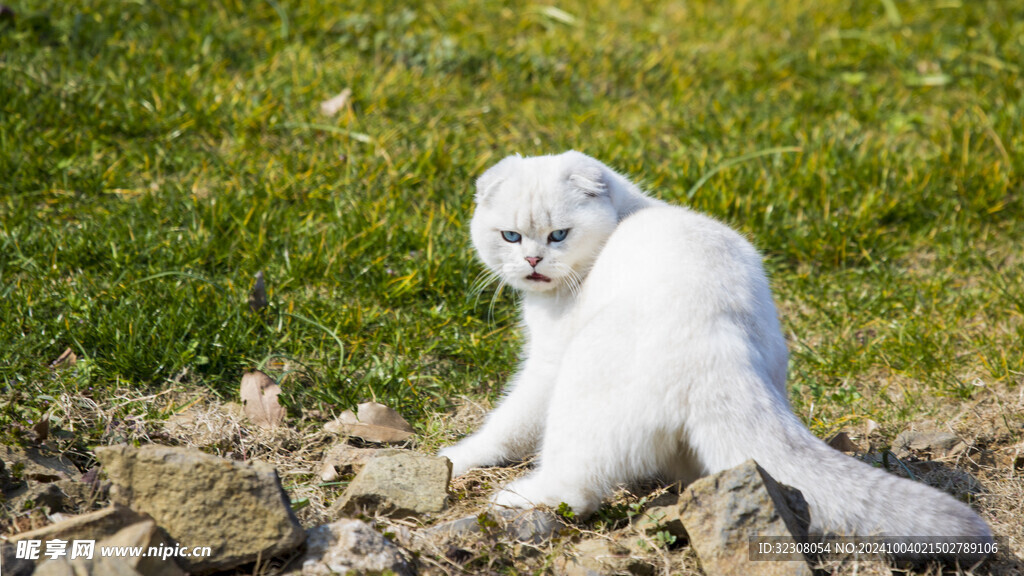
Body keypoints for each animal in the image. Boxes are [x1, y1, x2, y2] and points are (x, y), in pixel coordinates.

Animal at [438, 153, 991, 553]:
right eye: (510, 236)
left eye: (559, 235)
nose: (533, 260)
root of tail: (723, 352)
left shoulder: (546, 364)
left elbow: (503, 428)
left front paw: (457, 457)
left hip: (579, 389)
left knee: (572, 487)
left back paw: (516, 497)